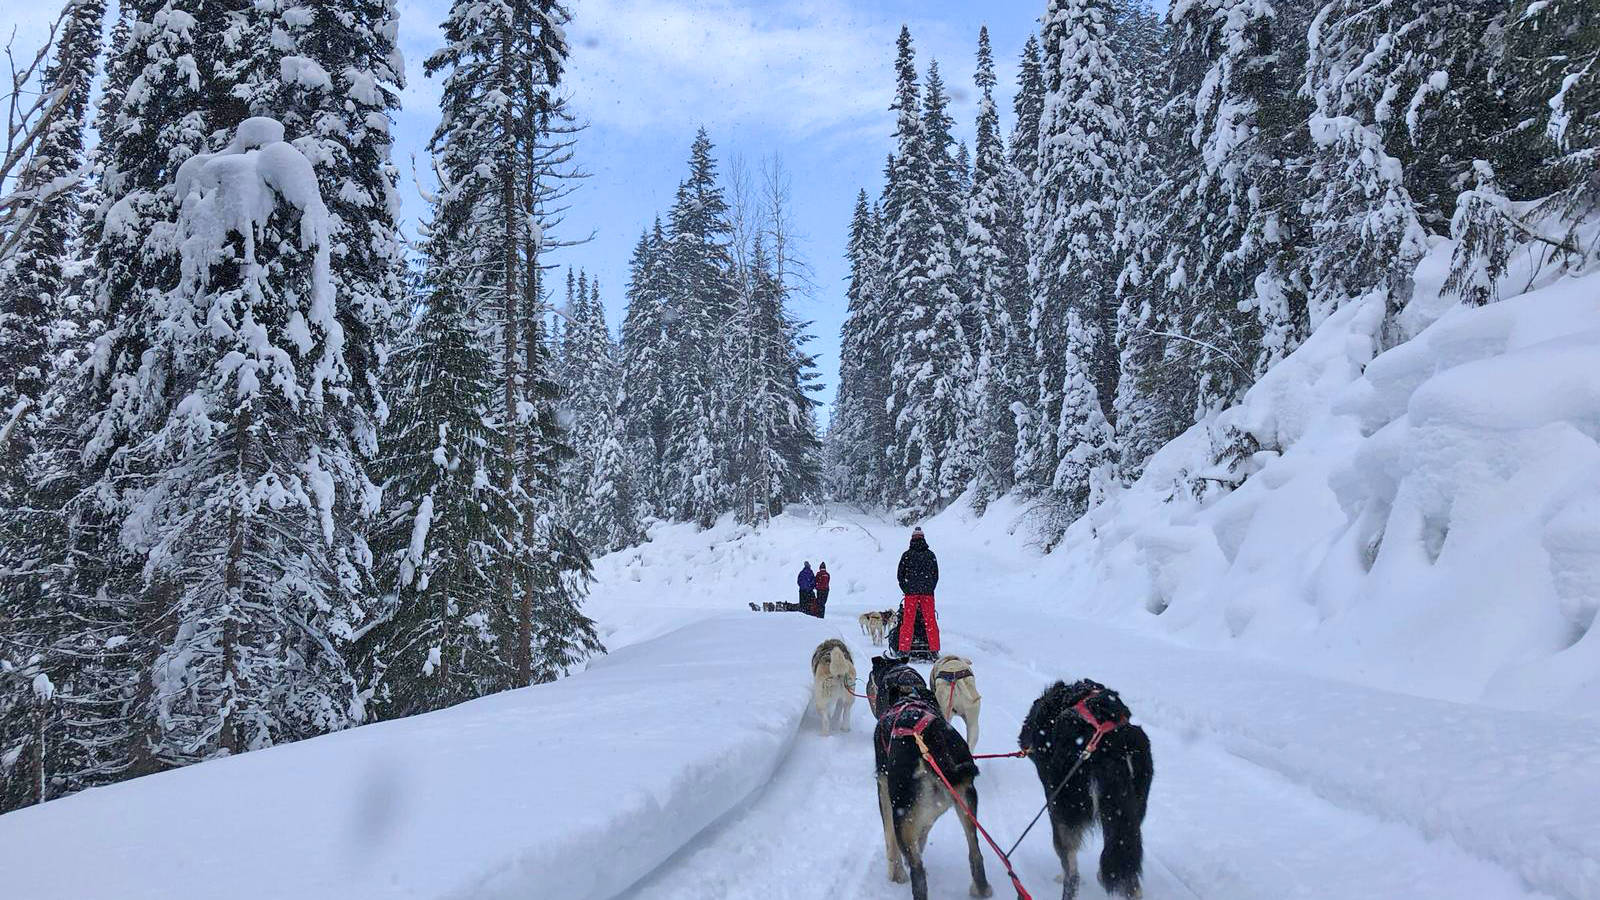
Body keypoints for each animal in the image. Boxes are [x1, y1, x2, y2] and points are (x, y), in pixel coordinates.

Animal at [876, 656, 985, 890]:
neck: (909, 699)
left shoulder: (883, 785)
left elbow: (890, 839)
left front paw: (894, 872)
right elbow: (923, 831)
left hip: (901, 811)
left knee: (916, 868)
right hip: (965, 803)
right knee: (976, 852)